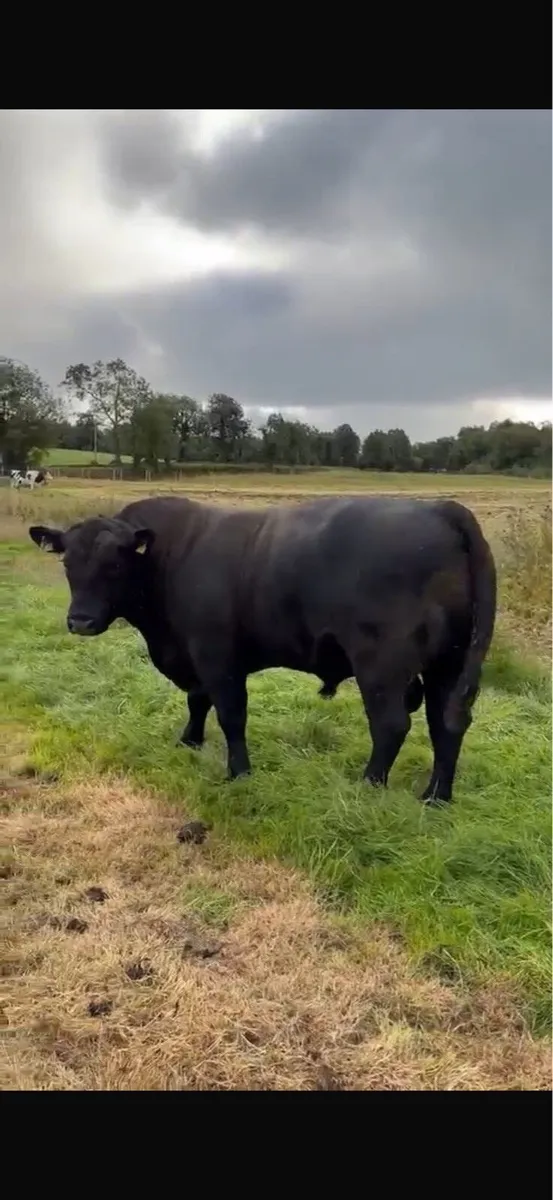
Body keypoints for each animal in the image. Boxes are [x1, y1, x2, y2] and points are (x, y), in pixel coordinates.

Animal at [29, 494, 496, 803]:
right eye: (68, 562)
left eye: (114, 564)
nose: (80, 621)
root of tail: (438, 507)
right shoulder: (194, 655)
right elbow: (197, 700)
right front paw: (190, 741)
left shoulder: (217, 655)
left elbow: (230, 714)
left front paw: (239, 772)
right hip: (447, 664)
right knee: (447, 725)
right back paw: (436, 797)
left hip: (382, 665)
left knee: (392, 725)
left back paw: (368, 786)